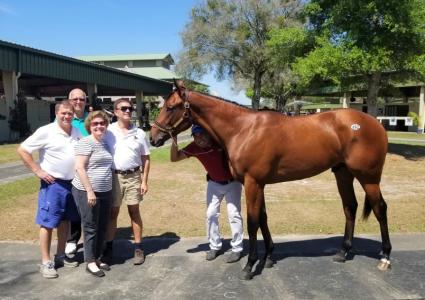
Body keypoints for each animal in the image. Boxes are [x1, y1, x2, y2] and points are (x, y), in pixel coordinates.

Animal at [149, 81, 390, 280]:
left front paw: (250, 265)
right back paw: (343, 251)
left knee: (380, 208)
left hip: (369, 177)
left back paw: (385, 257)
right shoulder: (260, 184)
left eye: (170, 107)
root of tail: (375, 123)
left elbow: (253, 221)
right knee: (350, 207)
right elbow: (263, 217)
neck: (244, 129)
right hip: (343, 173)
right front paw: (269, 256)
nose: (153, 137)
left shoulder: (253, 182)